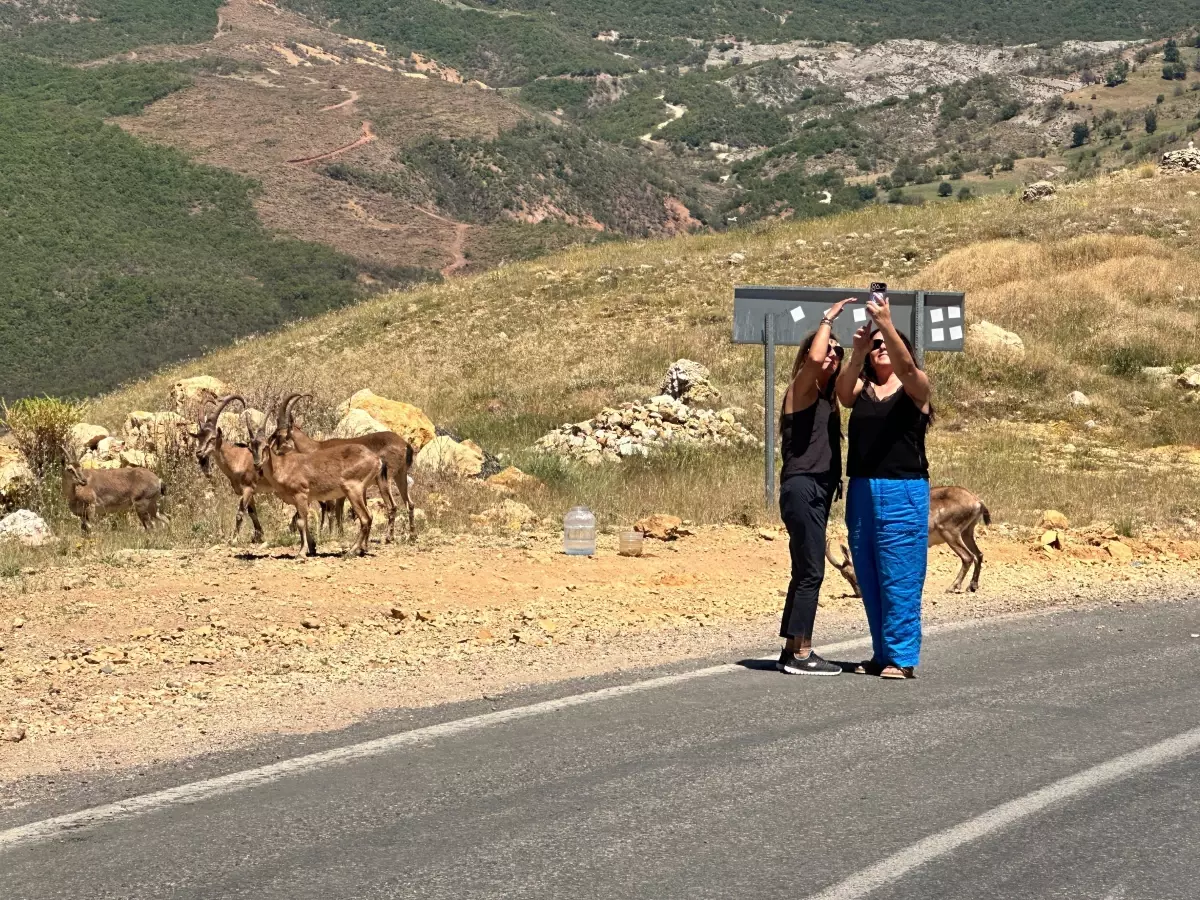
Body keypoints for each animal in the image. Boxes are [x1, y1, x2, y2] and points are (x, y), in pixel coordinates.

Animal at [246, 393, 391, 556]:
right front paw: (312, 547)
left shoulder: (301, 495)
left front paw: (302, 552)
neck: (283, 467)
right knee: (369, 517)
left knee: (366, 518)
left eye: (266, 445)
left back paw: (351, 550)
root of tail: (377, 459)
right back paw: (361, 549)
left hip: (353, 490)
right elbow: (301, 521)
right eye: (250, 448)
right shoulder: (304, 499)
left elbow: (302, 521)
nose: (257, 463)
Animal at [274, 393, 415, 542]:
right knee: (410, 503)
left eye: (278, 435)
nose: (275, 452)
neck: (316, 447)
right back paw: (412, 535)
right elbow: (338, 511)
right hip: (401, 475)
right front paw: (340, 533)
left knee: (392, 506)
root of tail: (405, 444)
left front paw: (331, 535)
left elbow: (332, 510)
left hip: (386, 478)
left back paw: (388, 537)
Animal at [830, 487, 988, 600]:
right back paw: (972, 586)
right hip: (967, 532)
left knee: (967, 557)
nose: (859, 594)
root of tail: (977, 501)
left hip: (950, 532)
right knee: (978, 554)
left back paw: (953, 587)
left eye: (848, 573)